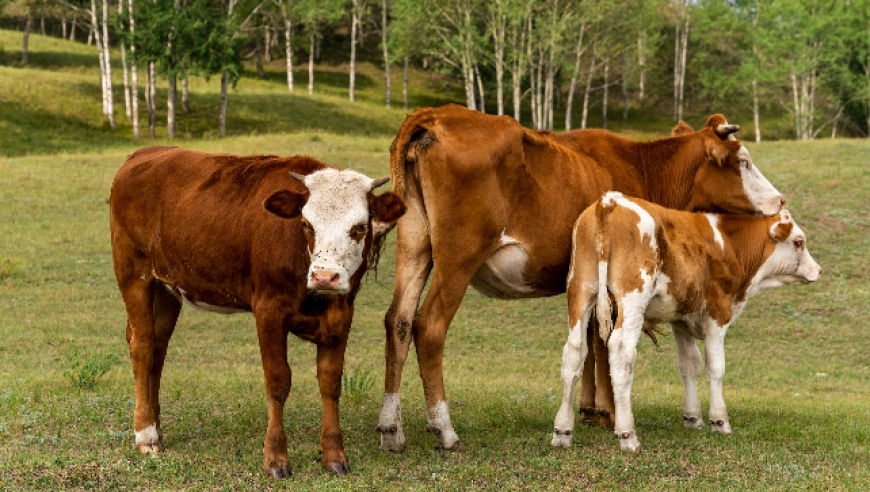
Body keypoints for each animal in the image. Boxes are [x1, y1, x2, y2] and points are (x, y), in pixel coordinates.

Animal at [109, 146, 406, 476]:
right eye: (306, 225)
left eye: (360, 227)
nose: (324, 276)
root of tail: (144, 153)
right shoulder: (268, 312)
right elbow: (278, 382)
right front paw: (275, 458)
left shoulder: (342, 315)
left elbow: (330, 382)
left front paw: (334, 455)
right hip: (134, 274)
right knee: (142, 346)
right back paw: (146, 435)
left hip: (167, 287)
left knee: (158, 350)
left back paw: (156, 427)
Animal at [378, 104, 788, 454]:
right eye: (744, 162)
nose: (781, 199)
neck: (642, 167)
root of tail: (435, 114)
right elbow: (606, 346)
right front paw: (611, 414)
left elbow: (591, 341)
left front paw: (592, 410)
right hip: (458, 257)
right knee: (429, 326)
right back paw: (445, 431)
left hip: (414, 246)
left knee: (398, 321)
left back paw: (391, 429)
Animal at [556, 193, 820, 454]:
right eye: (799, 242)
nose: (818, 270)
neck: (729, 244)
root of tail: (610, 200)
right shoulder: (717, 315)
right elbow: (715, 367)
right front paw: (719, 421)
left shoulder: (681, 320)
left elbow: (689, 365)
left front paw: (693, 417)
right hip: (632, 299)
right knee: (622, 353)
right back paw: (627, 435)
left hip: (579, 291)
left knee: (574, 353)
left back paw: (562, 431)